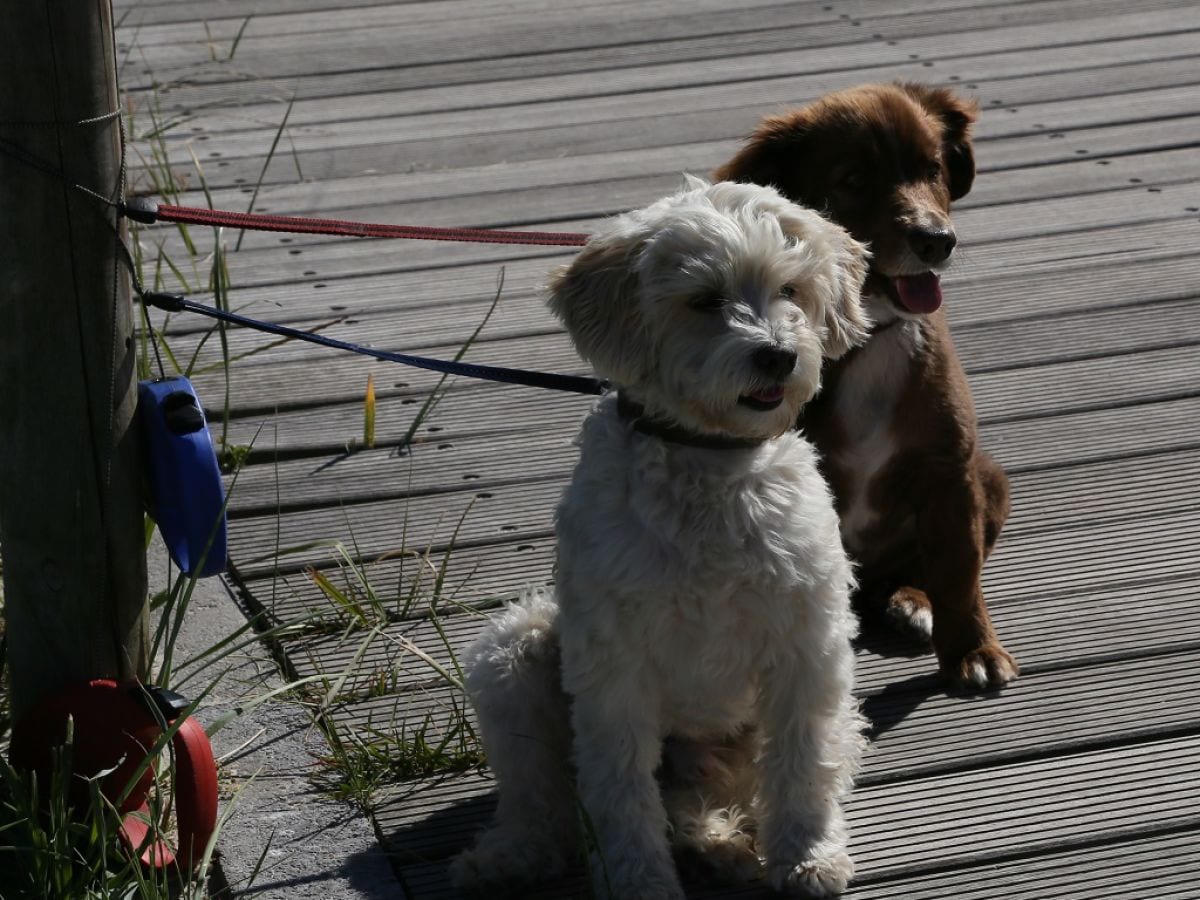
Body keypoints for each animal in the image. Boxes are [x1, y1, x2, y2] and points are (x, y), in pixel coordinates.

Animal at [451, 180, 873, 897]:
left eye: (790, 289)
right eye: (704, 299)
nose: (778, 355)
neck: (709, 466)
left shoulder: (807, 646)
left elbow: (801, 763)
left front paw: (807, 855)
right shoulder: (612, 669)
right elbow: (619, 792)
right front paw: (638, 881)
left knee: (716, 798)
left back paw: (726, 847)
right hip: (512, 656)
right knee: (545, 803)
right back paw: (505, 856)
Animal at [715, 82, 1017, 691]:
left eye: (932, 168)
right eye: (853, 179)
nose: (937, 241)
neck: (867, 334)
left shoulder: (949, 467)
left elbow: (959, 572)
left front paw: (973, 649)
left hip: (989, 476)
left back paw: (911, 599)